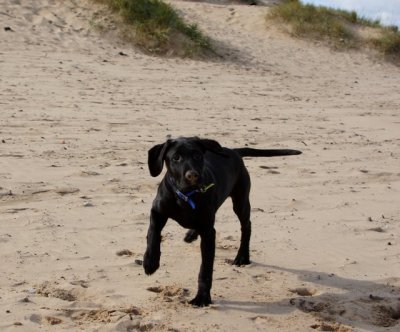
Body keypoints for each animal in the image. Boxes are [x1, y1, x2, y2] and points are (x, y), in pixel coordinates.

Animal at [144, 137, 300, 306]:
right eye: (176, 157)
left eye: (197, 155)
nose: (193, 176)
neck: (186, 196)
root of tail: (233, 151)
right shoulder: (157, 212)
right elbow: (153, 235)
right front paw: (150, 262)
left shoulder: (208, 233)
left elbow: (205, 269)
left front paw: (202, 297)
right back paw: (191, 234)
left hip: (240, 201)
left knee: (247, 226)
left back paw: (242, 256)